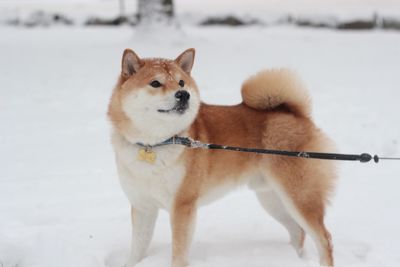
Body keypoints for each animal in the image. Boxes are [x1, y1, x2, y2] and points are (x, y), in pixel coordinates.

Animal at [108, 48, 336, 267]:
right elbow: (137, 248)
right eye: (155, 83)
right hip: (273, 199)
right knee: (298, 231)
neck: (155, 144)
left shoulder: (182, 206)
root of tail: (294, 113)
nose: (183, 94)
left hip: (299, 197)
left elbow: (179, 252)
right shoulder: (142, 206)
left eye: (181, 82)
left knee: (324, 238)